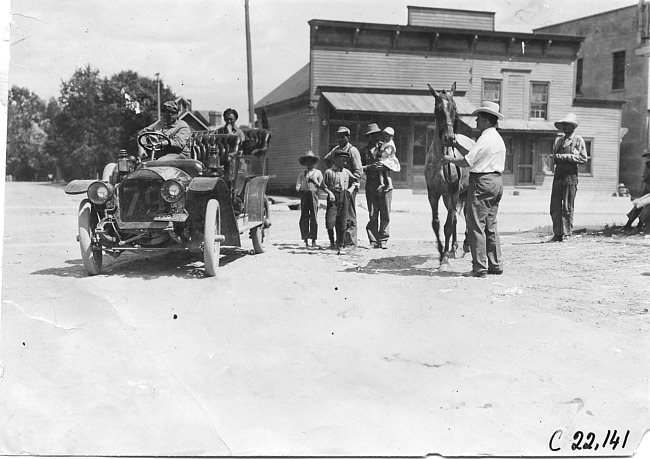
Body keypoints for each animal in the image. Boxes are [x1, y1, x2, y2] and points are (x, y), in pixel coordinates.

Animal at [422, 82, 474, 268]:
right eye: (437, 108)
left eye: (454, 108)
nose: (449, 138)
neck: (441, 160)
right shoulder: (434, 194)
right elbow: (437, 224)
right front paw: (441, 252)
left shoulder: (454, 192)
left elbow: (448, 226)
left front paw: (444, 258)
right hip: (446, 197)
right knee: (455, 218)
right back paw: (453, 248)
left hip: (464, 193)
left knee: (465, 215)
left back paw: (466, 245)